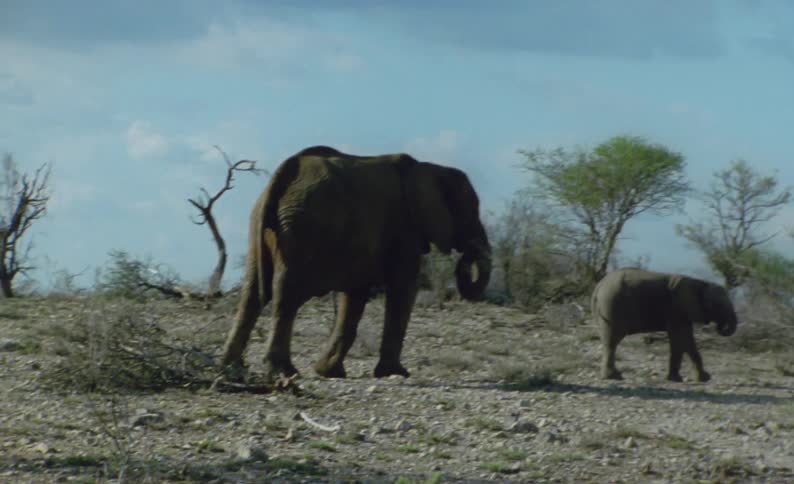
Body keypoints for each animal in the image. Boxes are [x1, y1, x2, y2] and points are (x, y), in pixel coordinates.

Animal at [221, 145, 491, 380]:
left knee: (252, 295)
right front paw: (396, 374)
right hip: (303, 225)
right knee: (285, 295)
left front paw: (328, 372)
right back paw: (284, 372)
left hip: (263, 223)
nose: (468, 255)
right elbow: (403, 288)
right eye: (470, 211)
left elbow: (355, 297)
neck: (430, 168)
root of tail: (285, 172)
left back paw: (232, 367)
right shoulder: (403, 228)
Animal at [591, 268, 738, 382]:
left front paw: (702, 379)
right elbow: (680, 339)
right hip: (612, 305)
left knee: (608, 340)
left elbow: (687, 340)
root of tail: (599, 286)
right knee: (612, 340)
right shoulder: (677, 309)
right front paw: (678, 379)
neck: (699, 283)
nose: (720, 327)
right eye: (718, 305)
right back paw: (614, 377)